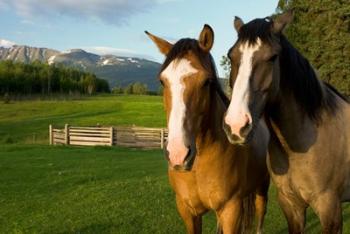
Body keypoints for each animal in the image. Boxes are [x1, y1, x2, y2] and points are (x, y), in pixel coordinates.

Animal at [145, 24, 270, 233]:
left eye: (206, 82)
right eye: (162, 81)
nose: (178, 154)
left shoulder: (231, 211)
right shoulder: (187, 211)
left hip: (263, 186)